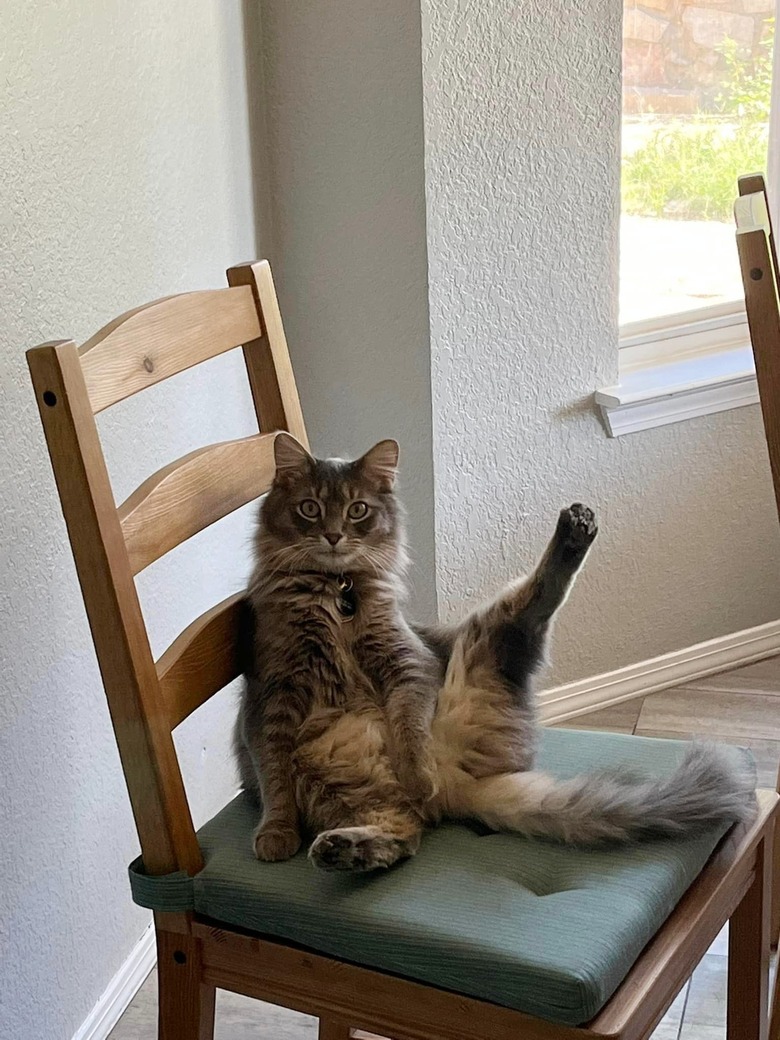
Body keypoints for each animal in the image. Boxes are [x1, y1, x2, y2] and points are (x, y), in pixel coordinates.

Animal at [235, 434, 752, 873]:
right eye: (310, 508)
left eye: (357, 510)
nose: (334, 536)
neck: (338, 594)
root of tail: (457, 788)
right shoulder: (272, 695)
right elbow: (274, 777)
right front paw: (276, 835)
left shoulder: (410, 662)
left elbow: (409, 727)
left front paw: (416, 772)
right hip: (343, 782)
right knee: (404, 834)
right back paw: (343, 847)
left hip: (488, 638)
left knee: (537, 600)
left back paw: (576, 527)